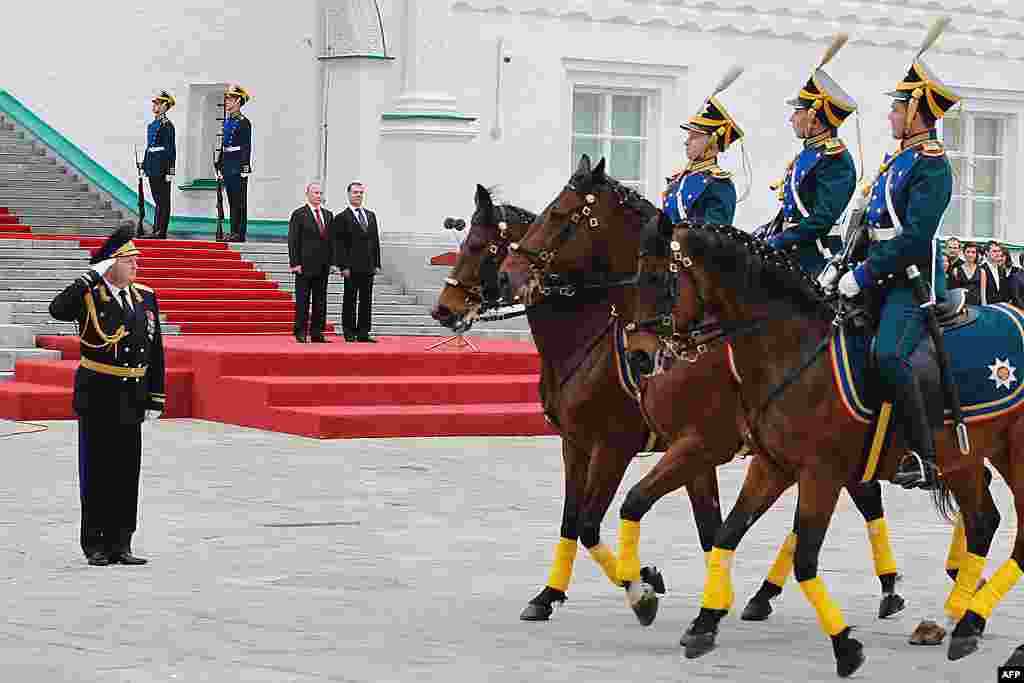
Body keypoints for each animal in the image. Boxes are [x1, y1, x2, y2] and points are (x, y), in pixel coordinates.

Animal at [432, 183, 720, 626]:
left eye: (480, 246)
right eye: (463, 243)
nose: (443, 309)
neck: (589, 339)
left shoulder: (614, 447)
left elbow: (588, 524)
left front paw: (640, 586)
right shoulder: (576, 444)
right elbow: (571, 521)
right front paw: (549, 594)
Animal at [647, 222, 1015, 675]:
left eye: (660, 276)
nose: (646, 350)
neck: (791, 351)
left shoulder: (819, 473)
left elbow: (805, 556)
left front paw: (845, 645)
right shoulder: (773, 465)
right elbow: (728, 532)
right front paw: (704, 622)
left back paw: (964, 615)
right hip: (966, 458)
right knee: (983, 520)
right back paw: (962, 617)